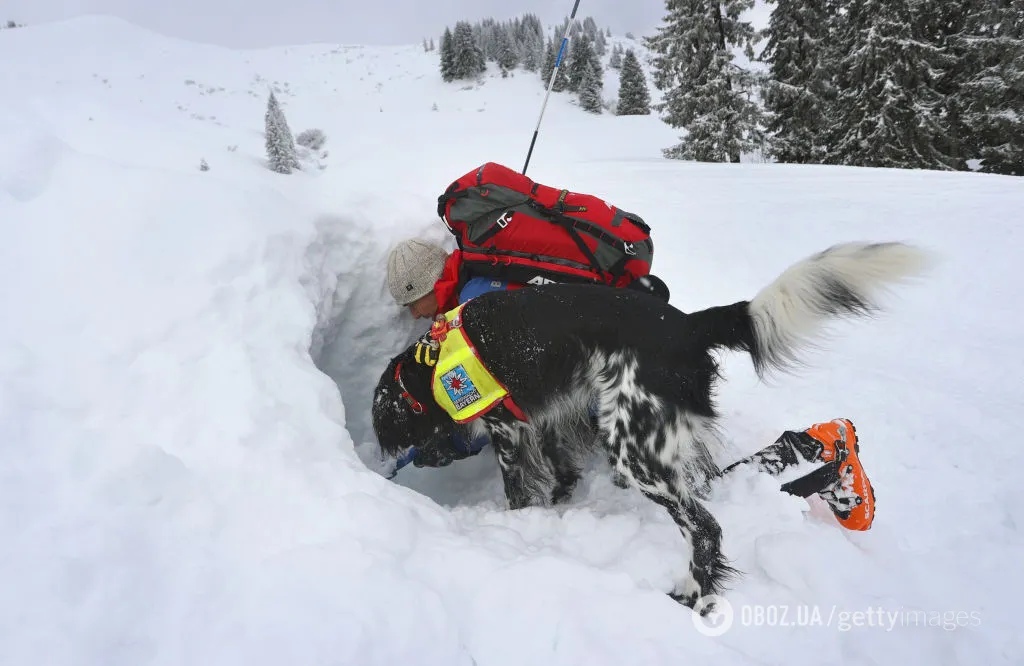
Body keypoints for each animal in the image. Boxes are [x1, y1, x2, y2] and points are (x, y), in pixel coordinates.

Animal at [372, 242, 933, 606]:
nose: (414, 461)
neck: (429, 364)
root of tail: (687, 325)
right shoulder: (549, 414)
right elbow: (559, 467)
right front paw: (558, 504)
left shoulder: (506, 428)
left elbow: (517, 485)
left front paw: (515, 523)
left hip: (635, 450)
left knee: (706, 528)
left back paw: (691, 596)